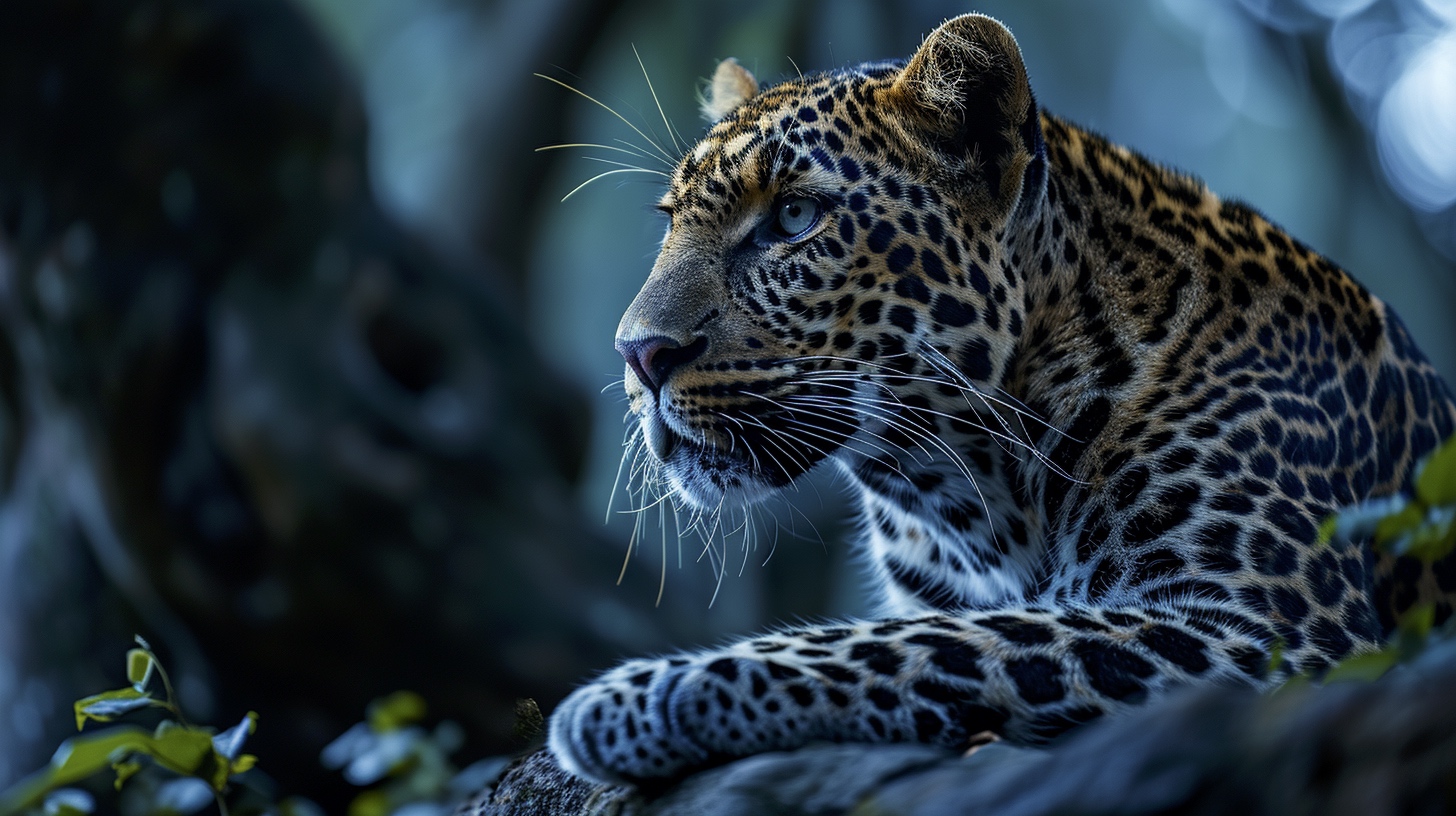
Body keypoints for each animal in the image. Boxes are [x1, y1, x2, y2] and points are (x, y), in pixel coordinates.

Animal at [547, 13, 1456, 787]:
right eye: (670, 222)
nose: (638, 356)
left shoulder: (1268, 633)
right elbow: (941, 627)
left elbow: (930, 642)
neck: (969, 487)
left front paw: (633, 699)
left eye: (795, 218)